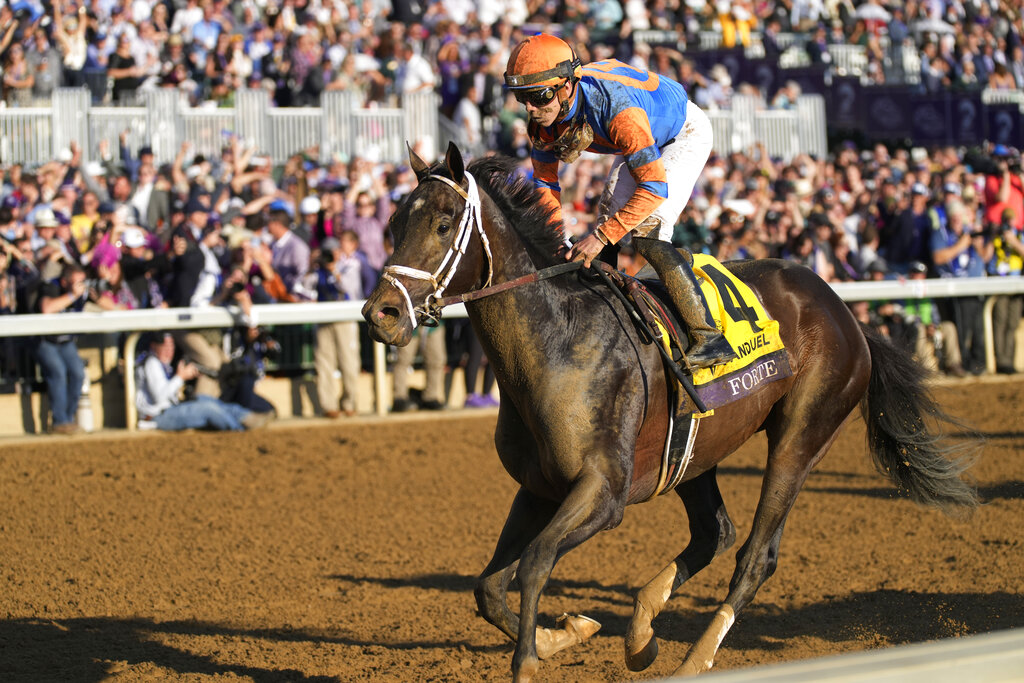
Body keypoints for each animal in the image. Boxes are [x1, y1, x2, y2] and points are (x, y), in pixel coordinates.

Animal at [360, 144, 974, 683]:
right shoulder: (538, 487)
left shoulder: (603, 493)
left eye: (443, 224)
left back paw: (693, 660)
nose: (381, 314)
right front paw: (568, 633)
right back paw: (641, 632)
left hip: (803, 435)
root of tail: (844, 309)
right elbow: (488, 588)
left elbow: (534, 562)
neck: (557, 341)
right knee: (714, 533)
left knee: (755, 555)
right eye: (392, 223)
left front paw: (534, 659)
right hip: (695, 453)